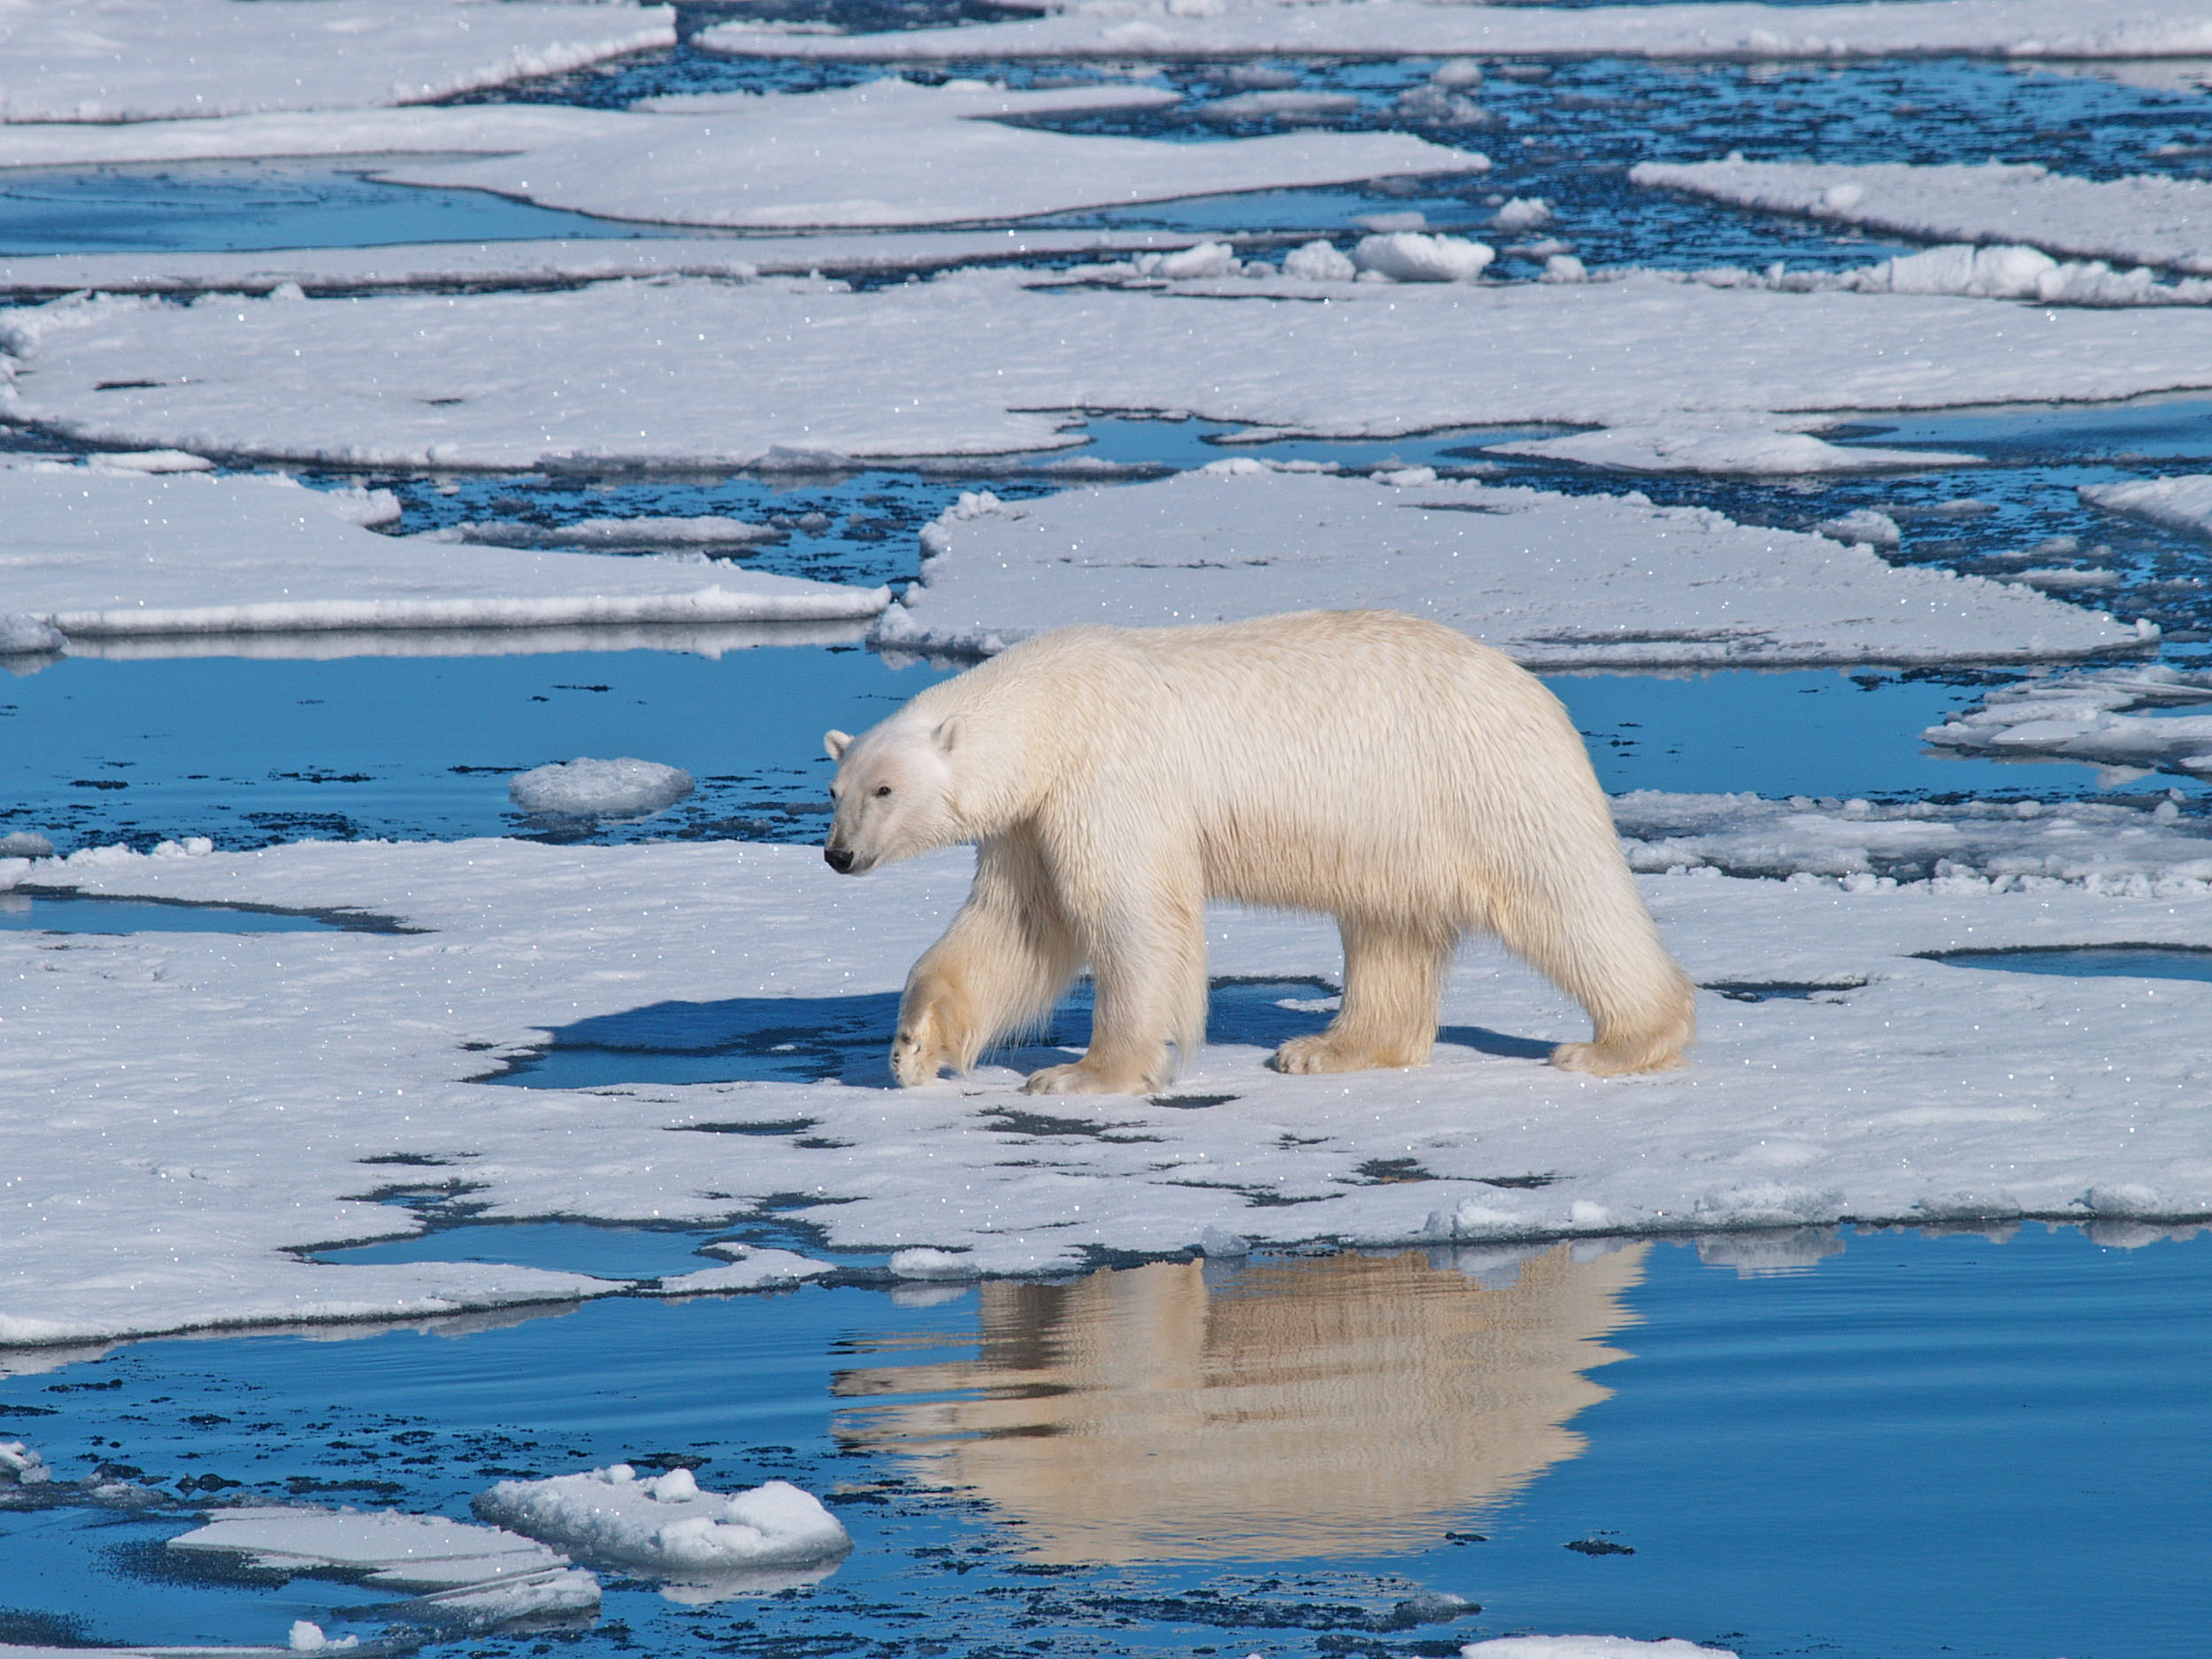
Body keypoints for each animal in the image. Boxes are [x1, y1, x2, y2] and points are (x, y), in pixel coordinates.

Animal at [822, 609, 1694, 1095]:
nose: (838, 856)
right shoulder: (1033, 817)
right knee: (1389, 926)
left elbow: (1128, 912)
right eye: (836, 788)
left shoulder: (1109, 776)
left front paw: (1082, 1073)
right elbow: (1018, 925)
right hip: (1401, 825)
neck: (1054, 707)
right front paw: (911, 1048)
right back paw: (1326, 1049)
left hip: (1482, 780)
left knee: (1563, 897)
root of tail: (1535, 689)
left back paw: (1616, 1043)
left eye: (886, 790)